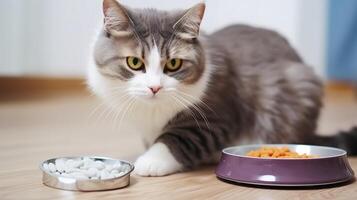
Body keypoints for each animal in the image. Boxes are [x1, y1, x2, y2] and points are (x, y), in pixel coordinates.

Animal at [88, 0, 356, 176]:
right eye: (134, 62)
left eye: (174, 64)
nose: (155, 87)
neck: (152, 112)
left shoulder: (215, 115)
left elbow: (177, 140)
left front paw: (149, 161)